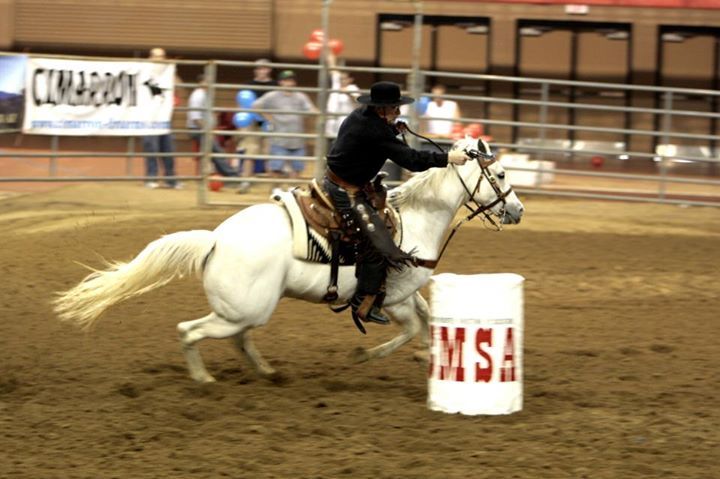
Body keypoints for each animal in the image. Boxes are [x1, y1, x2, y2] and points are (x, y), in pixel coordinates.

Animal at [52, 138, 524, 382]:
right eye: (500, 174)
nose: (518, 211)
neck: (415, 219)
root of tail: (215, 240)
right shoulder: (392, 299)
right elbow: (411, 329)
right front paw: (364, 356)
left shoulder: (407, 296)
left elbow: (426, 322)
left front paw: (430, 357)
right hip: (243, 309)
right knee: (192, 331)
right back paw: (205, 380)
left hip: (247, 310)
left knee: (240, 339)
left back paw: (267, 371)